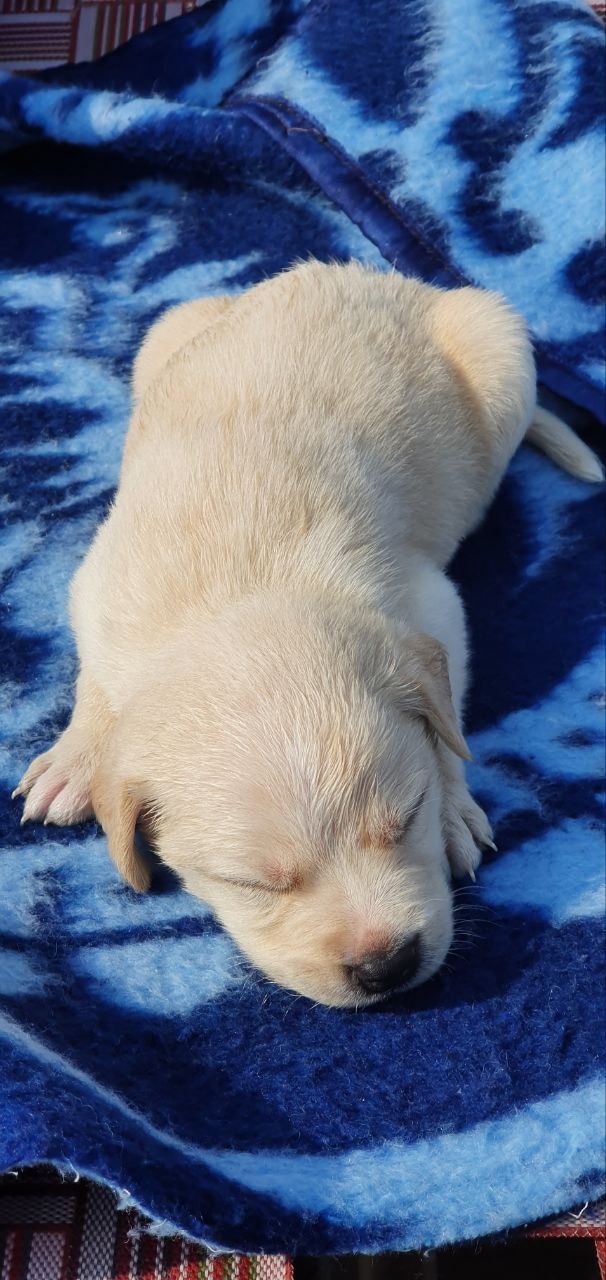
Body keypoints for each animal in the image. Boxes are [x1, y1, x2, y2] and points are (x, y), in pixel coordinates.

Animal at [14, 261, 603, 1006]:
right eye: (254, 884)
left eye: (407, 816)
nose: (387, 964)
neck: (235, 591)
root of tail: (377, 276)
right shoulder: (98, 589)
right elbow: (96, 674)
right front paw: (76, 758)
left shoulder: (431, 605)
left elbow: (447, 720)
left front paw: (453, 807)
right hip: (169, 334)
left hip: (500, 352)